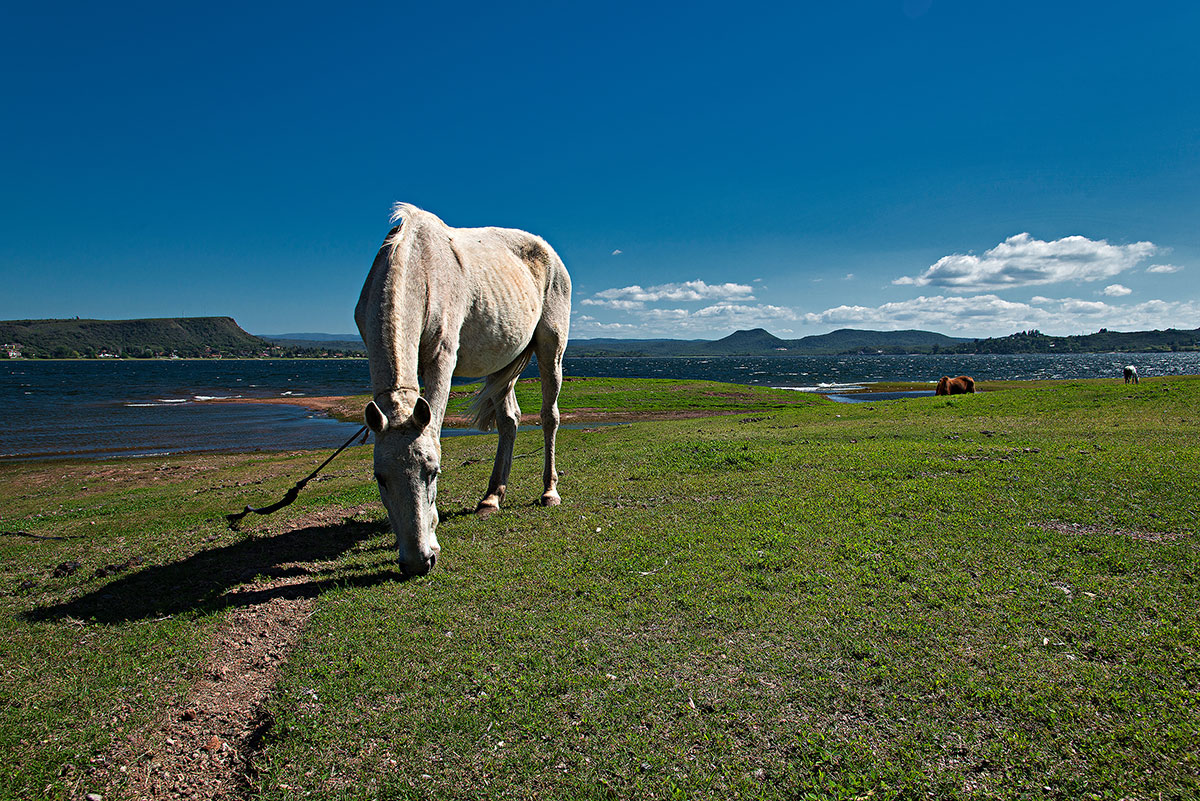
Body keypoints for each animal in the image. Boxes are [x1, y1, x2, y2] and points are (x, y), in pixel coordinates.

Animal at [355, 204, 572, 576]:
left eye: (433, 473)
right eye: (380, 478)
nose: (418, 562)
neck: (419, 265)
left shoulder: (442, 356)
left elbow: (436, 431)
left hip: (550, 348)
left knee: (549, 417)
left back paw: (549, 491)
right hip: (502, 358)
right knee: (509, 421)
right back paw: (492, 497)